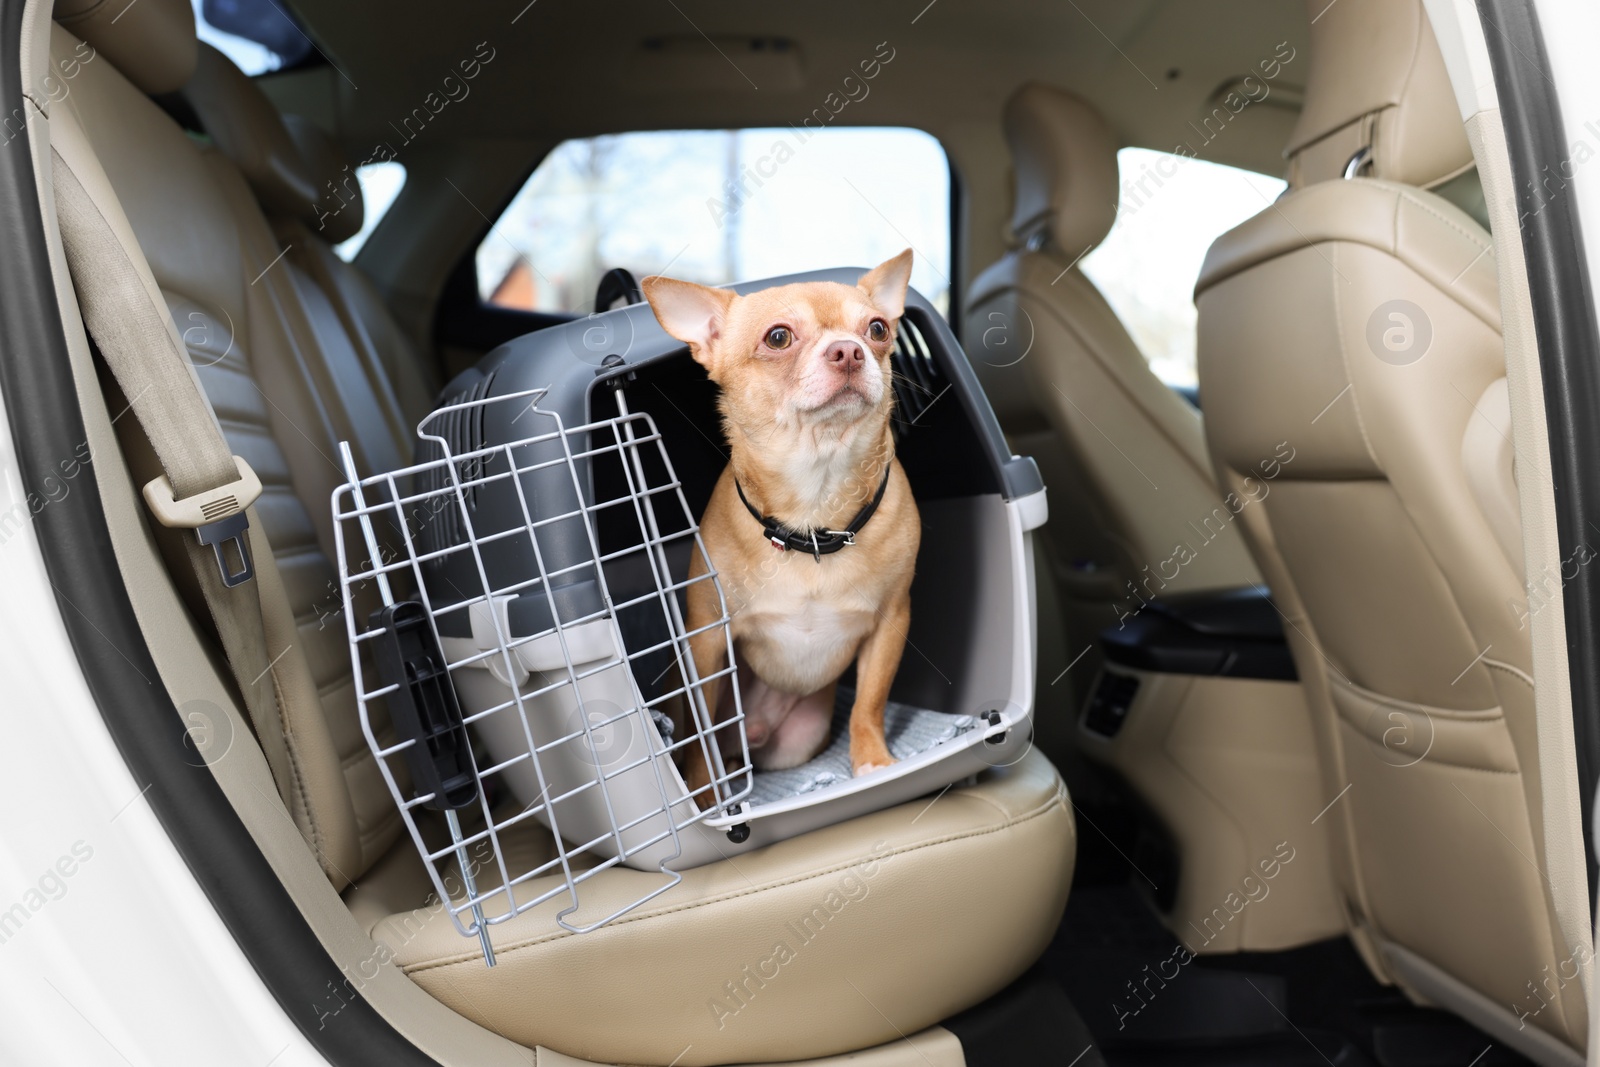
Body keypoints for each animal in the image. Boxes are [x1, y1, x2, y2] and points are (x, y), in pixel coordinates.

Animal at [643, 254, 928, 796]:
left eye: (878, 329)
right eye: (778, 338)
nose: (849, 350)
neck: (815, 507)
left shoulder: (892, 623)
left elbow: (869, 701)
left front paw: (872, 760)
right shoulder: (707, 638)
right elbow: (701, 729)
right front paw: (706, 791)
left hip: (801, 736)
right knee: (711, 735)